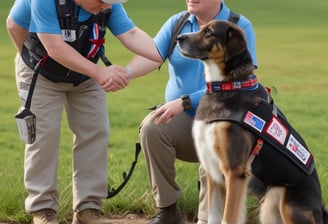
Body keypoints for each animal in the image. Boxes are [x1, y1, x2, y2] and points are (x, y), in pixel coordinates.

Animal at [177, 20, 328, 223]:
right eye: (201, 28)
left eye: (209, 32)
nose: (179, 38)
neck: (227, 86)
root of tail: (321, 210)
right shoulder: (213, 173)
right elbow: (213, 217)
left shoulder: (234, 171)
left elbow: (228, 217)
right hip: (270, 204)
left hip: (287, 200)